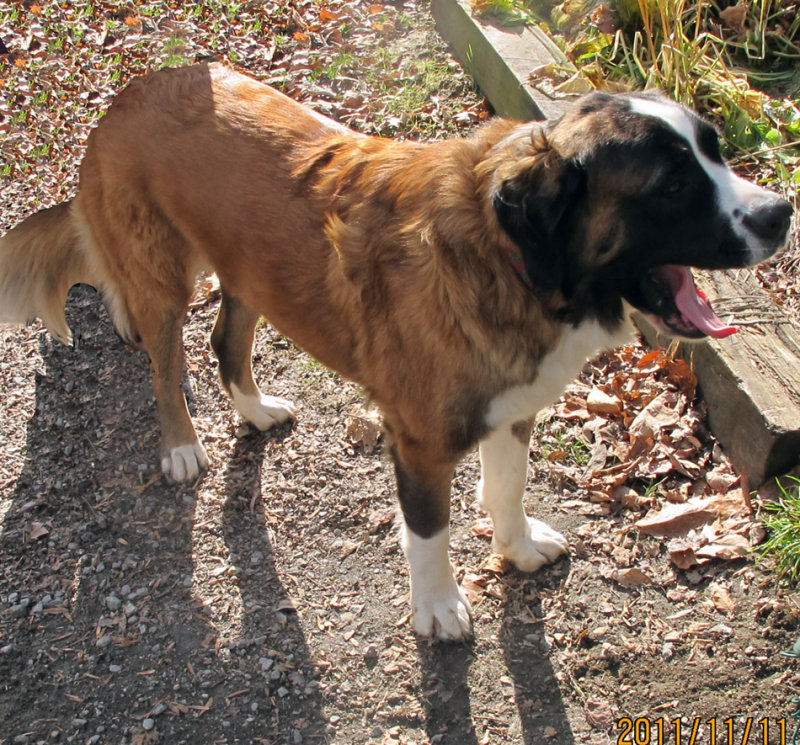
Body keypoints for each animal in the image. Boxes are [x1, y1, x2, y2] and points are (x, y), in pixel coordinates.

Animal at [0, 62, 788, 640]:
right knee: (165, 366)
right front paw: (437, 607)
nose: (781, 212)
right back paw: (182, 445)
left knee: (226, 342)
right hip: (162, 280)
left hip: (252, 274)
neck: (508, 259)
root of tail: (133, 91)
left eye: (716, 149)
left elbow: (506, 487)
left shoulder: (511, 406)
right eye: (674, 185)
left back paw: (253, 411)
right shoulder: (420, 443)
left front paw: (515, 550)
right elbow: (430, 531)